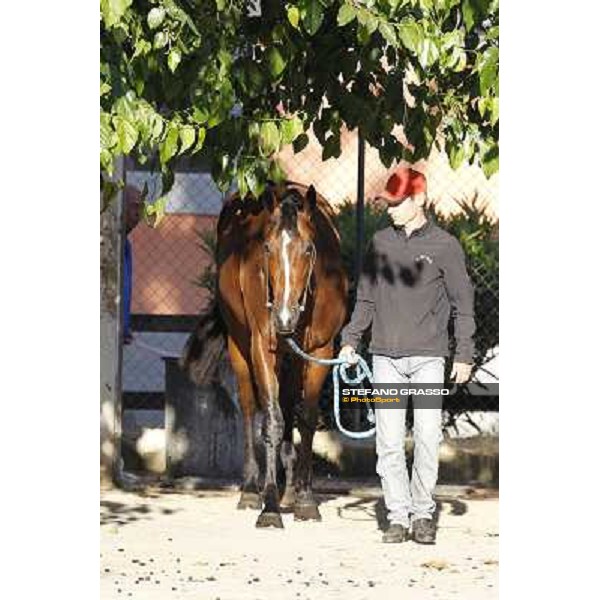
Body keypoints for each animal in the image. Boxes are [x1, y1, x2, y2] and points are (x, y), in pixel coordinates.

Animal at [182, 180, 346, 528]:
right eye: (267, 248)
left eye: (308, 249)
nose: (283, 318)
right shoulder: (262, 348)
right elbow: (271, 421)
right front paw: (269, 506)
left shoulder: (321, 350)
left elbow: (306, 418)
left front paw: (305, 498)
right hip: (241, 349)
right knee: (248, 408)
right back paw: (251, 490)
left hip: (292, 359)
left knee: (287, 403)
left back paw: (289, 490)